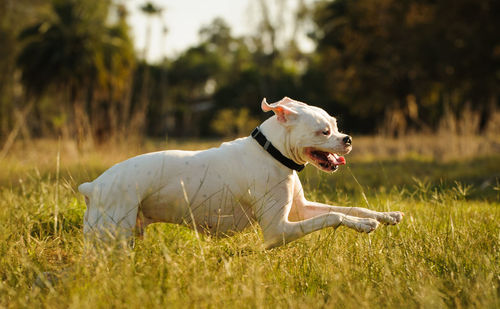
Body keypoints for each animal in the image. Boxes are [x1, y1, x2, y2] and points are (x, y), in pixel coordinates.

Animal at [80, 97, 404, 248]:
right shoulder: (278, 231)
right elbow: (333, 216)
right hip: (111, 236)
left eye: (336, 124)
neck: (271, 153)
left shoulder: (300, 209)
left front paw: (384, 216)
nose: (347, 139)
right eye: (324, 131)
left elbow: (349, 207)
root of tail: (93, 185)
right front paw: (363, 225)